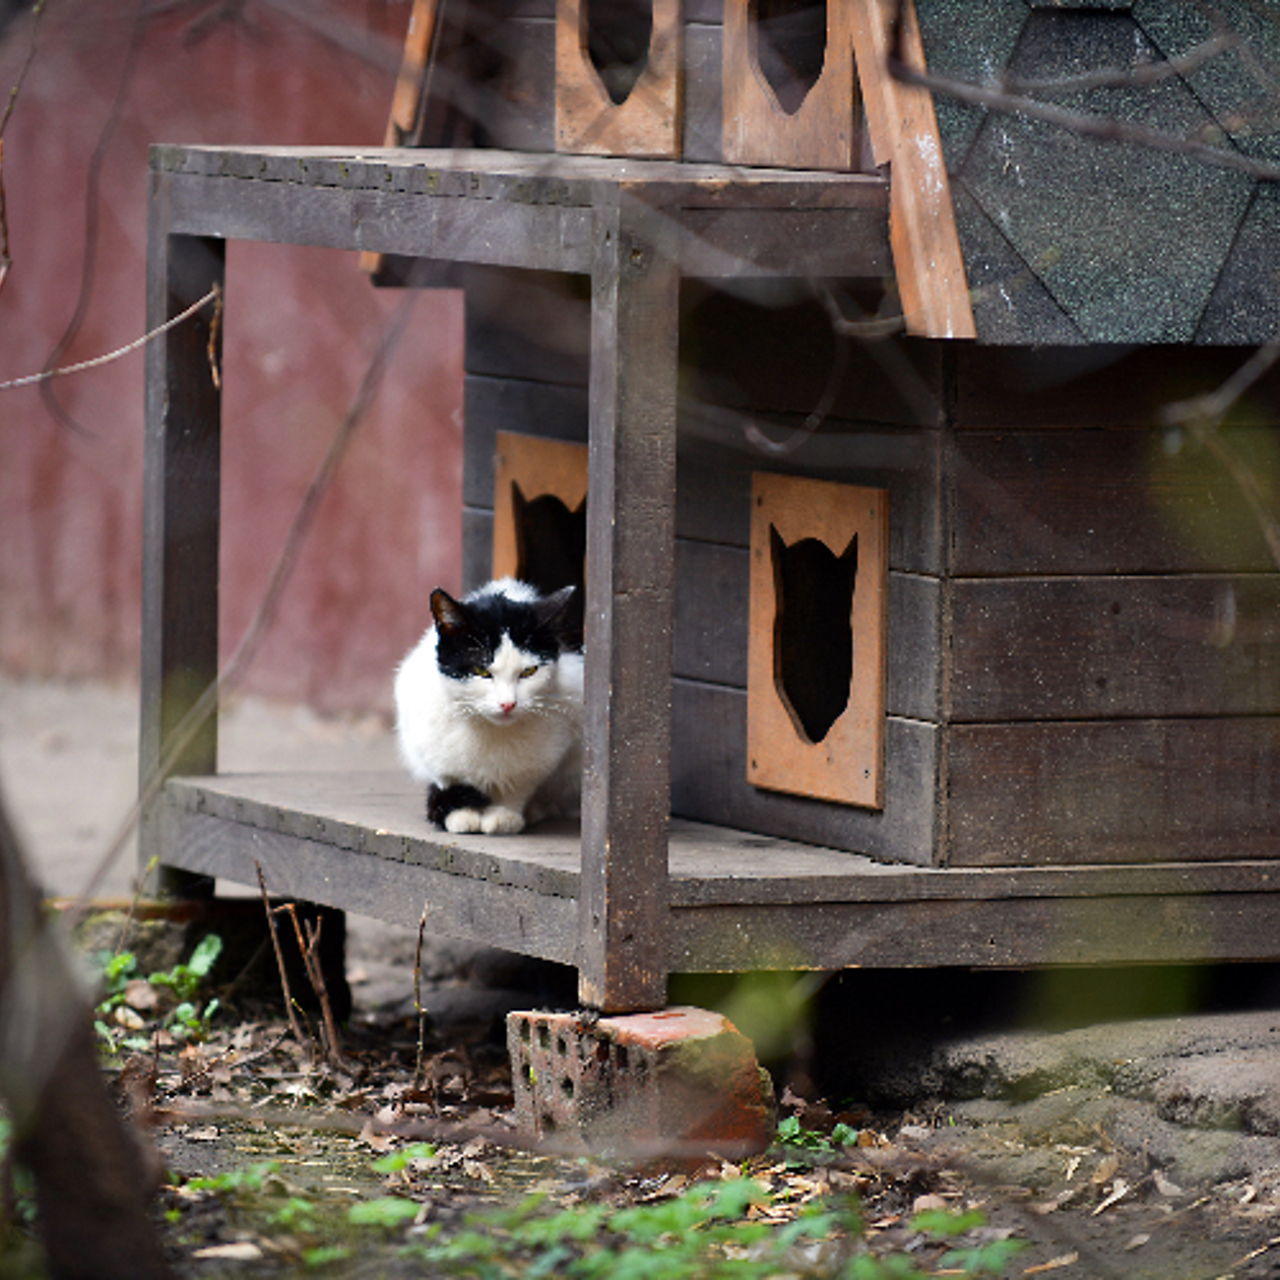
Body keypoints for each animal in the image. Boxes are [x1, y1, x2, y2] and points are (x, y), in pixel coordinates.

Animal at [394, 583, 586, 839]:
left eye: (529, 671)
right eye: (481, 671)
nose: (508, 703)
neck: (491, 731)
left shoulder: (544, 755)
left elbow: (519, 786)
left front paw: (504, 815)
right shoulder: (428, 744)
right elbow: (449, 779)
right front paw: (462, 815)